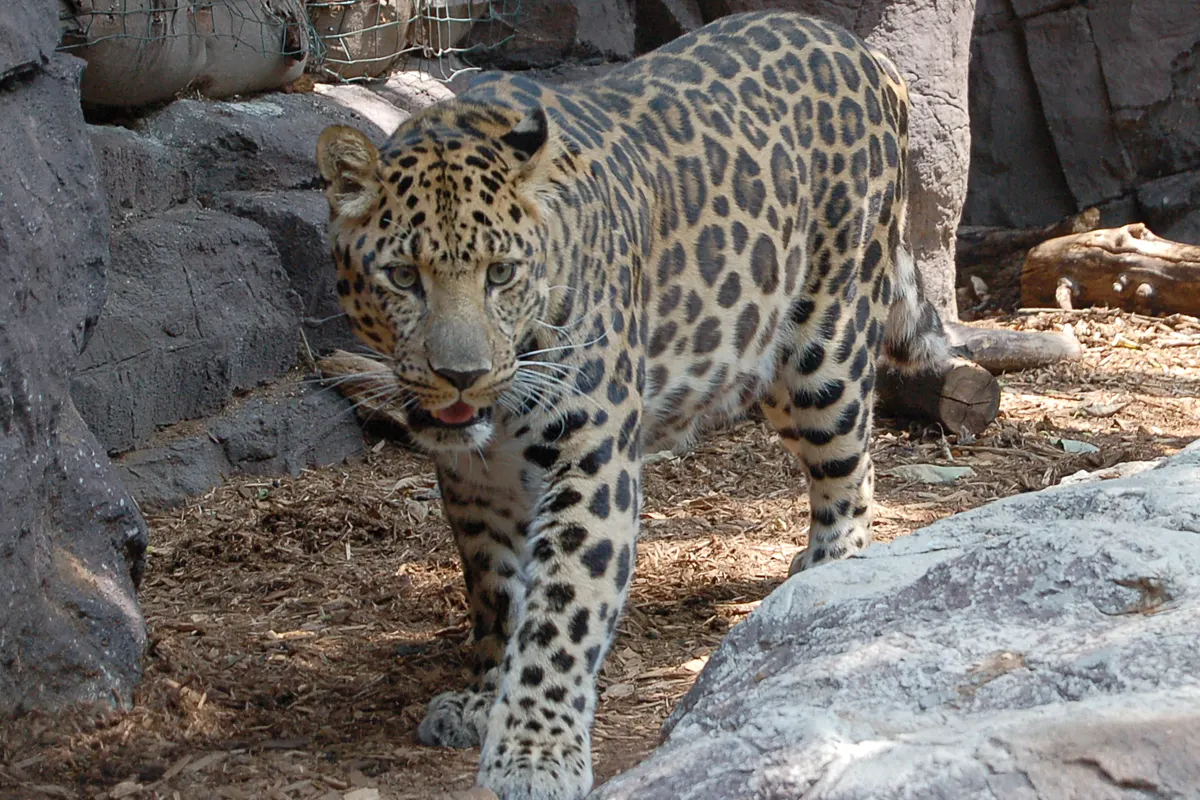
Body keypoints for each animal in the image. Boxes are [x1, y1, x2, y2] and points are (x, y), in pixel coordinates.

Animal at [316, 10, 952, 799]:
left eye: (501, 273)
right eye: (403, 276)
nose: (462, 376)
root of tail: (859, 48)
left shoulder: (592, 452)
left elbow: (561, 609)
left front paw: (535, 753)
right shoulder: (474, 482)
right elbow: (496, 590)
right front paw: (484, 696)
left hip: (822, 346)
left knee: (852, 467)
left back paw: (829, 571)